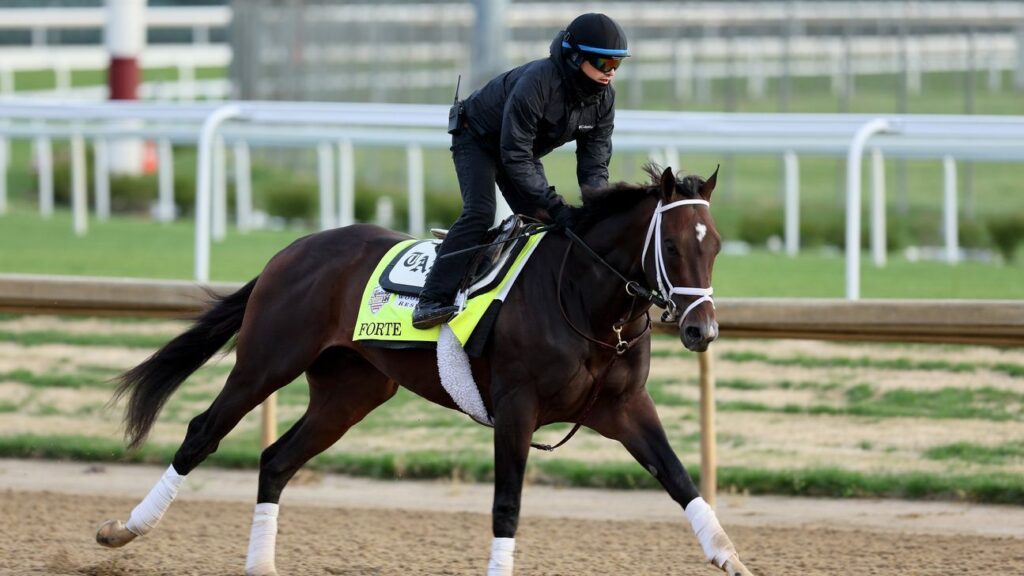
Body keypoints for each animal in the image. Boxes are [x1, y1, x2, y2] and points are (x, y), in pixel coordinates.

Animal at [95, 164, 754, 576]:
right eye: (673, 246)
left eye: (717, 245)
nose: (702, 330)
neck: (585, 301)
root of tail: (292, 250)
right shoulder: (516, 409)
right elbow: (507, 505)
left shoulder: (623, 408)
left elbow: (681, 480)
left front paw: (732, 557)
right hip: (266, 362)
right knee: (202, 433)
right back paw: (124, 529)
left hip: (350, 391)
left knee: (276, 460)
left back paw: (260, 564)